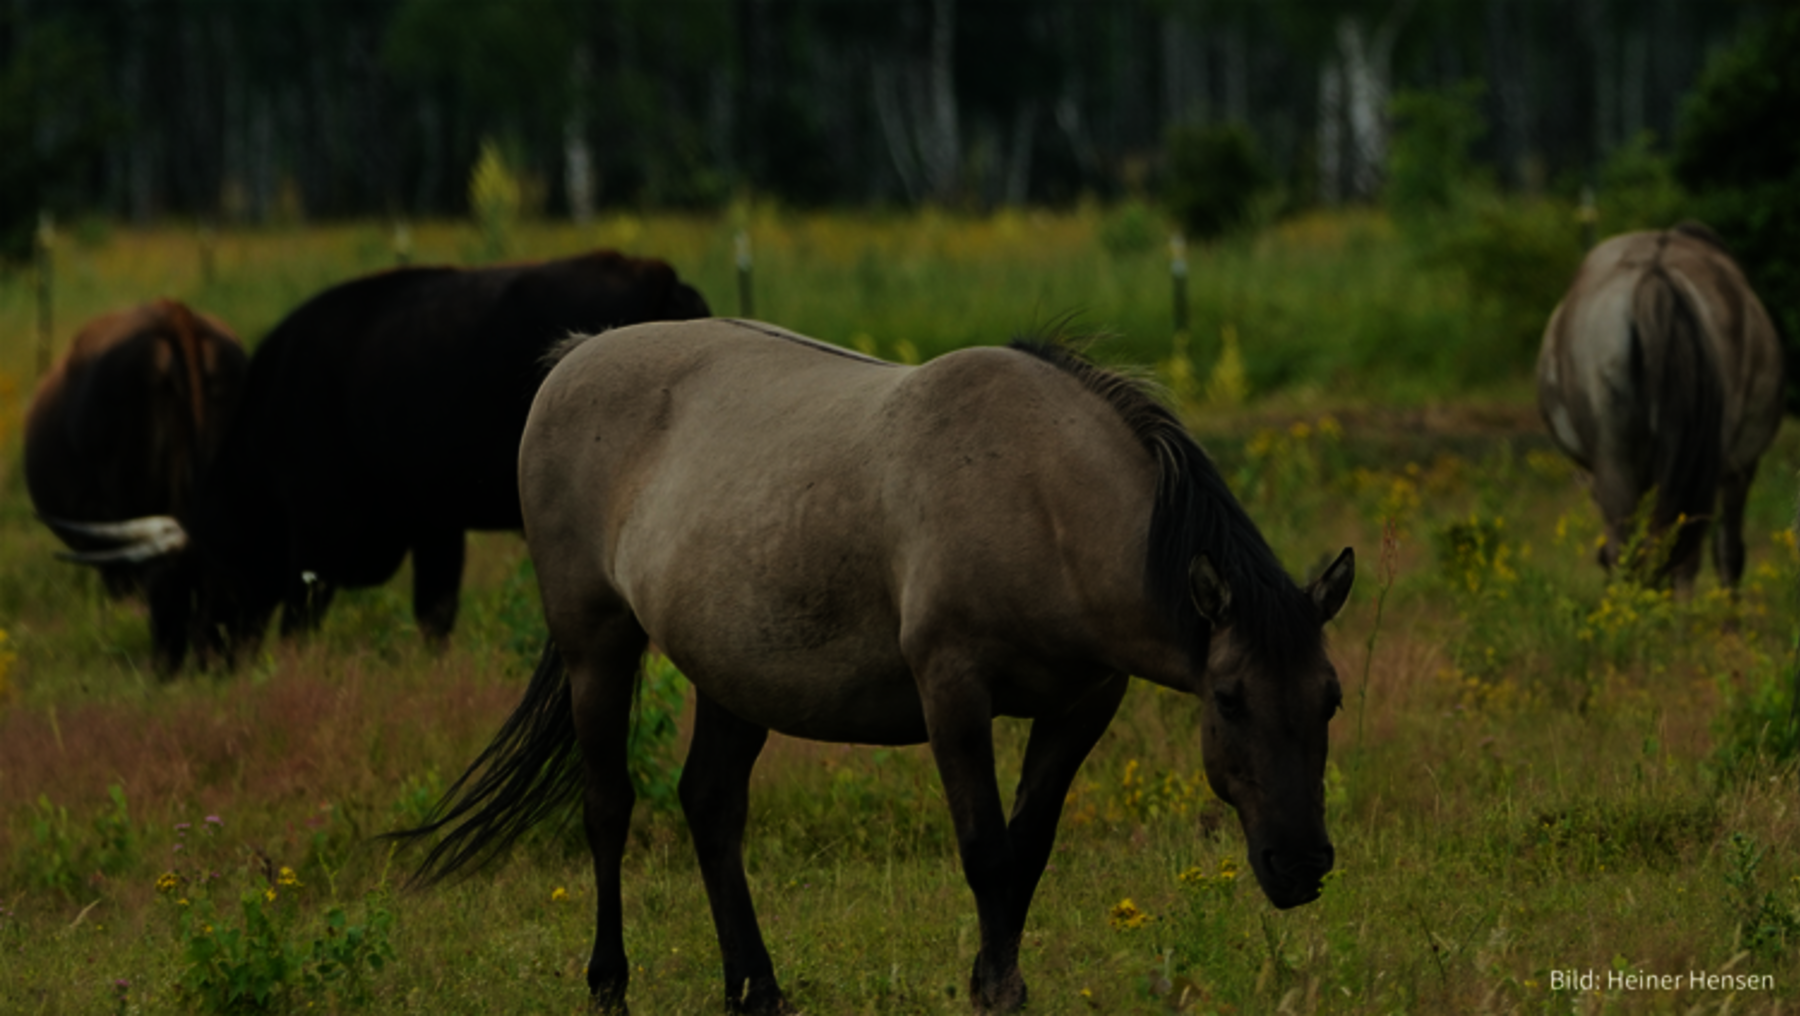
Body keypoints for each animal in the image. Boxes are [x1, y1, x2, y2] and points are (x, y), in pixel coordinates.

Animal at [390, 319, 1355, 1014]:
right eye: (1228, 699)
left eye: (1331, 700)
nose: (1303, 864)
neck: (1038, 496)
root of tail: (574, 357)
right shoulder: (953, 694)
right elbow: (987, 852)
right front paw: (999, 992)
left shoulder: (1082, 706)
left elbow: (1029, 850)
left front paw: (989, 976)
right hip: (598, 647)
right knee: (607, 810)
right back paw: (609, 984)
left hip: (733, 678)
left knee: (711, 807)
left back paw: (756, 989)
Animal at [1537, 222, 1786, 594]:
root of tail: (1654, 275)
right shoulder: (1739, 467)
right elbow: (1728, 553)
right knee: (1675, 555)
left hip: (1617, 461)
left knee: (1634, 552)